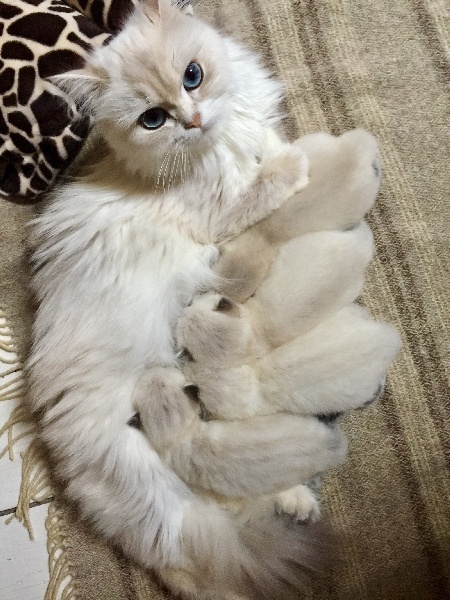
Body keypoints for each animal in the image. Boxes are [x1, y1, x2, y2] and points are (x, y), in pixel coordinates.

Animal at [26, 1, 346, 600]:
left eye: (192, 76)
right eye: (153, 119)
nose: (192, 119)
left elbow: (266, 143)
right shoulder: (218, 214)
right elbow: (265, 177)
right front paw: (296, 164)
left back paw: (296, 504)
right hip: (150, 451)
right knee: (192, 543)